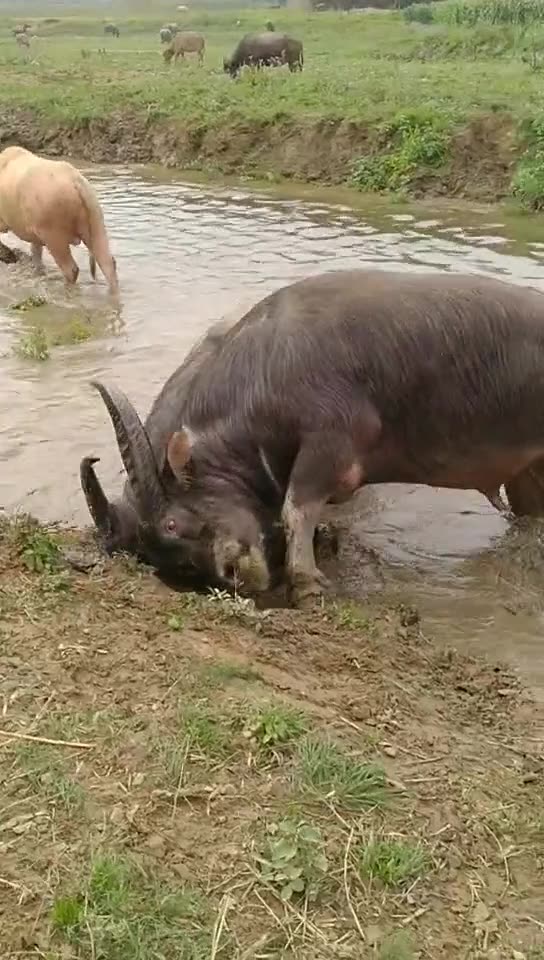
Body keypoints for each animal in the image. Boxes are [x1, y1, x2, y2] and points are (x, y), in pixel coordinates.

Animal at [82, 269, 544, 606]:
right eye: (178, 568)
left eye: (173, 523)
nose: (232, 573)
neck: (263, 373)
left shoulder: (331, 445)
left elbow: (296, 508)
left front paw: (306, 583)